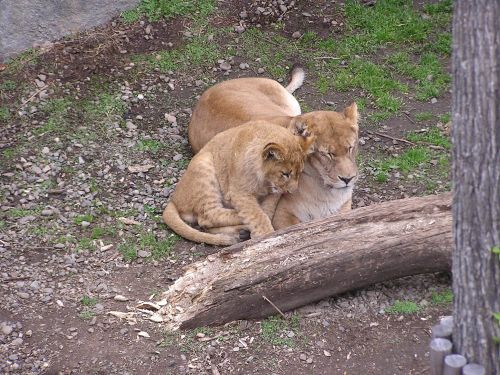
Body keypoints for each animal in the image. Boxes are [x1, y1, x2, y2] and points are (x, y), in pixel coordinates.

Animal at [188, 66, 360, 231]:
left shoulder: (345, 211)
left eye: (351, 148)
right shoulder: (282, 214)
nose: (348, 179)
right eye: (327, 154)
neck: (326, 192)